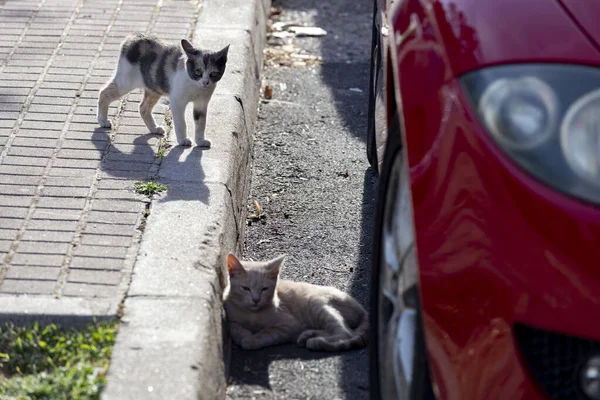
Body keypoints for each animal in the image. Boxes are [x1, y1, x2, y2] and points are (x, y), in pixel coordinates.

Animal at [96, 32, 230, 148]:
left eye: (213, 74)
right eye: (197, 72)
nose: (205, 82)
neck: (196, 86)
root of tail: (135, 37)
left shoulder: (201, 104)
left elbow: (201, 123)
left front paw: (200, 141)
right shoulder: (177, 102)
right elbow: (181, 123)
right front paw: (183, 140)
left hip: (154, 87)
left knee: (143, 108)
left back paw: (154, 129)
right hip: (125, 82)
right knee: (103, 93)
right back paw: (103, 121)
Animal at [223, 255, 368, 352]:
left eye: (264, 289)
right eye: (245, 288)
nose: (256, 299)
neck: (252, 315)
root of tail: (362, 309)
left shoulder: (289, 325)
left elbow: (267, 333)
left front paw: (251, 340)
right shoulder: (230, 314)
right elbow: (234, 327)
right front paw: (244, 334)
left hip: (316, 303)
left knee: (346, 333)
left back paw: (316, 341)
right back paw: (308, 335)